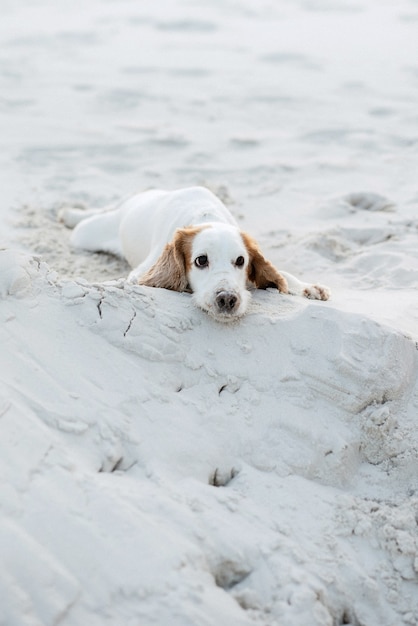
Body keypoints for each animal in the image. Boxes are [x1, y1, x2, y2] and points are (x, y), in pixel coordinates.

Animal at [61, 184, 330, 322]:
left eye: (241, 261)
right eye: (201, 260)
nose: (227, 299)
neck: (206, 218)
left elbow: (283, 274)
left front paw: (308, 288)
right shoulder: (140, 273)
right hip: (87, 233)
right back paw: (69, 213)